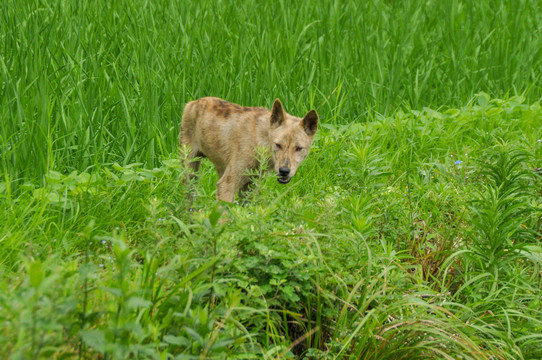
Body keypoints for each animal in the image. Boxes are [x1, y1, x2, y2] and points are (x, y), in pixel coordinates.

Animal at [181, 96, 320, 202]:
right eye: (278, 145)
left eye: (299, 148)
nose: (284, 171)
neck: (260, 142)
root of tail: (193, 102)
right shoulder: (226, 185)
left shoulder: (250, 187)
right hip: (190, 172)